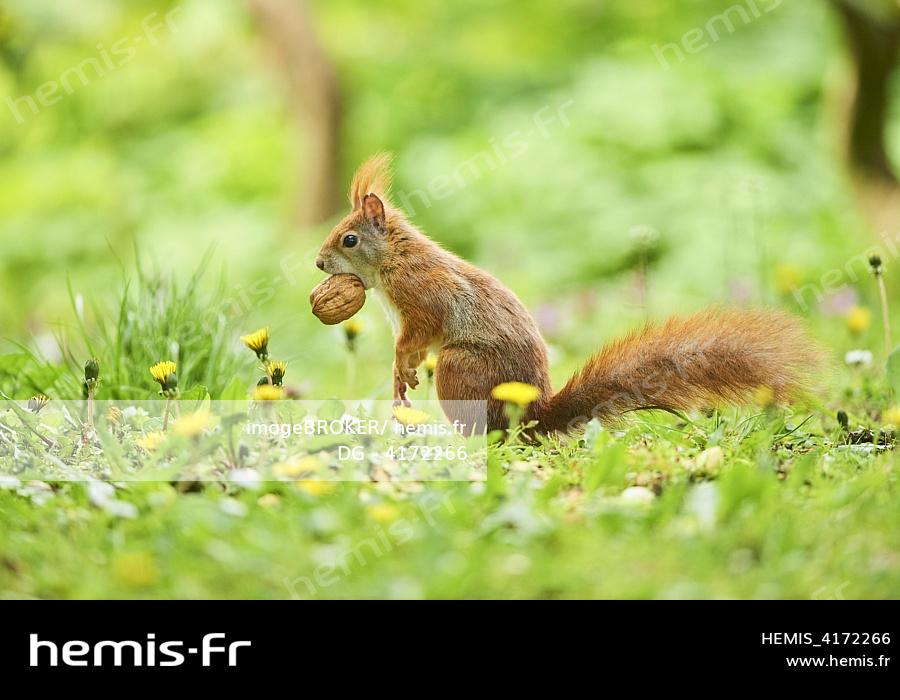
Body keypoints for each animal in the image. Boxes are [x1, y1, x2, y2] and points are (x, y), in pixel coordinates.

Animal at [316, 154, 824, 432]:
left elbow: (417, 335)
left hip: (461, 369)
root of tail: (536, 414)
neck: (391, 261)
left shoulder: (422, 292)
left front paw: (401, 370)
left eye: (349, 239)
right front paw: (401, 379)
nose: (318, 264)